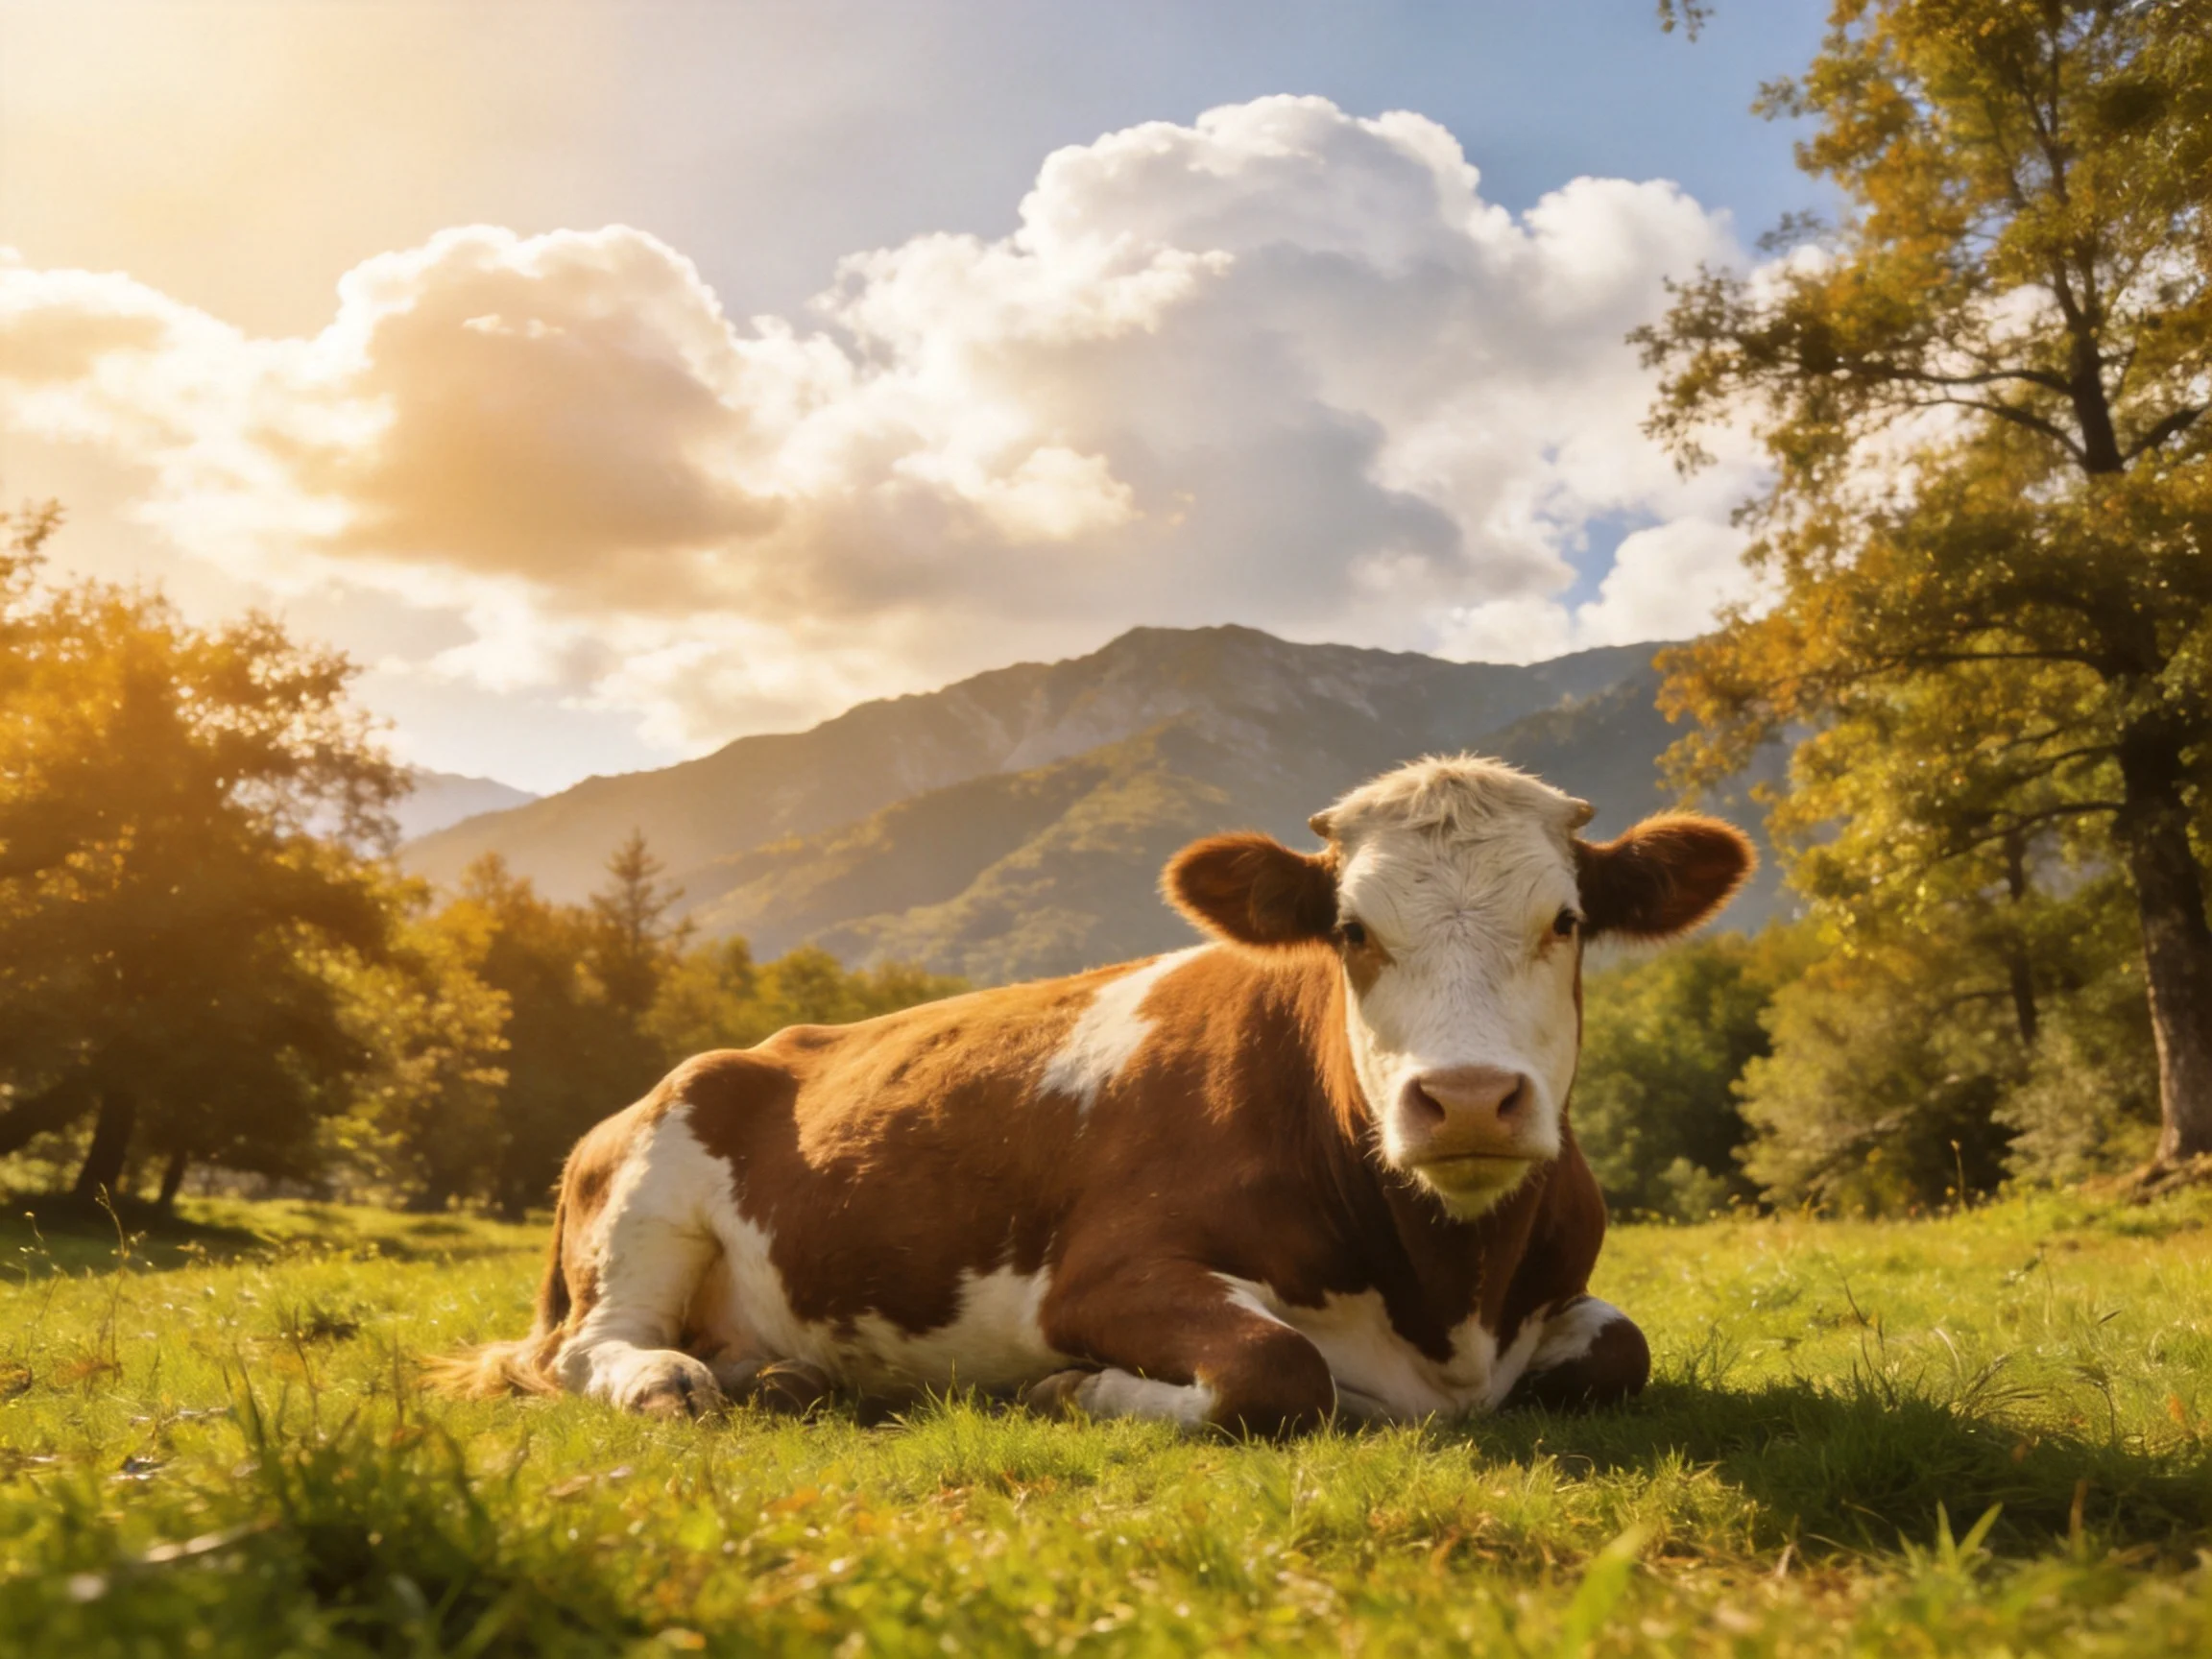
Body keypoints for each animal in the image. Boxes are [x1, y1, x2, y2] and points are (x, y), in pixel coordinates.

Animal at [434, 755, 1752, 1434]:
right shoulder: (1103, 1274)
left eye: (1566, 920)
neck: (1451, 1301)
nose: (1469, 1098)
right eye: (1351, 930)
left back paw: (786, 1378)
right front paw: (1071, 1389)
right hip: (645, 1201)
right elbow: (1279, 1372)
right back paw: (674, 1382)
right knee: (587, 1350)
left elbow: (1622, 1348)